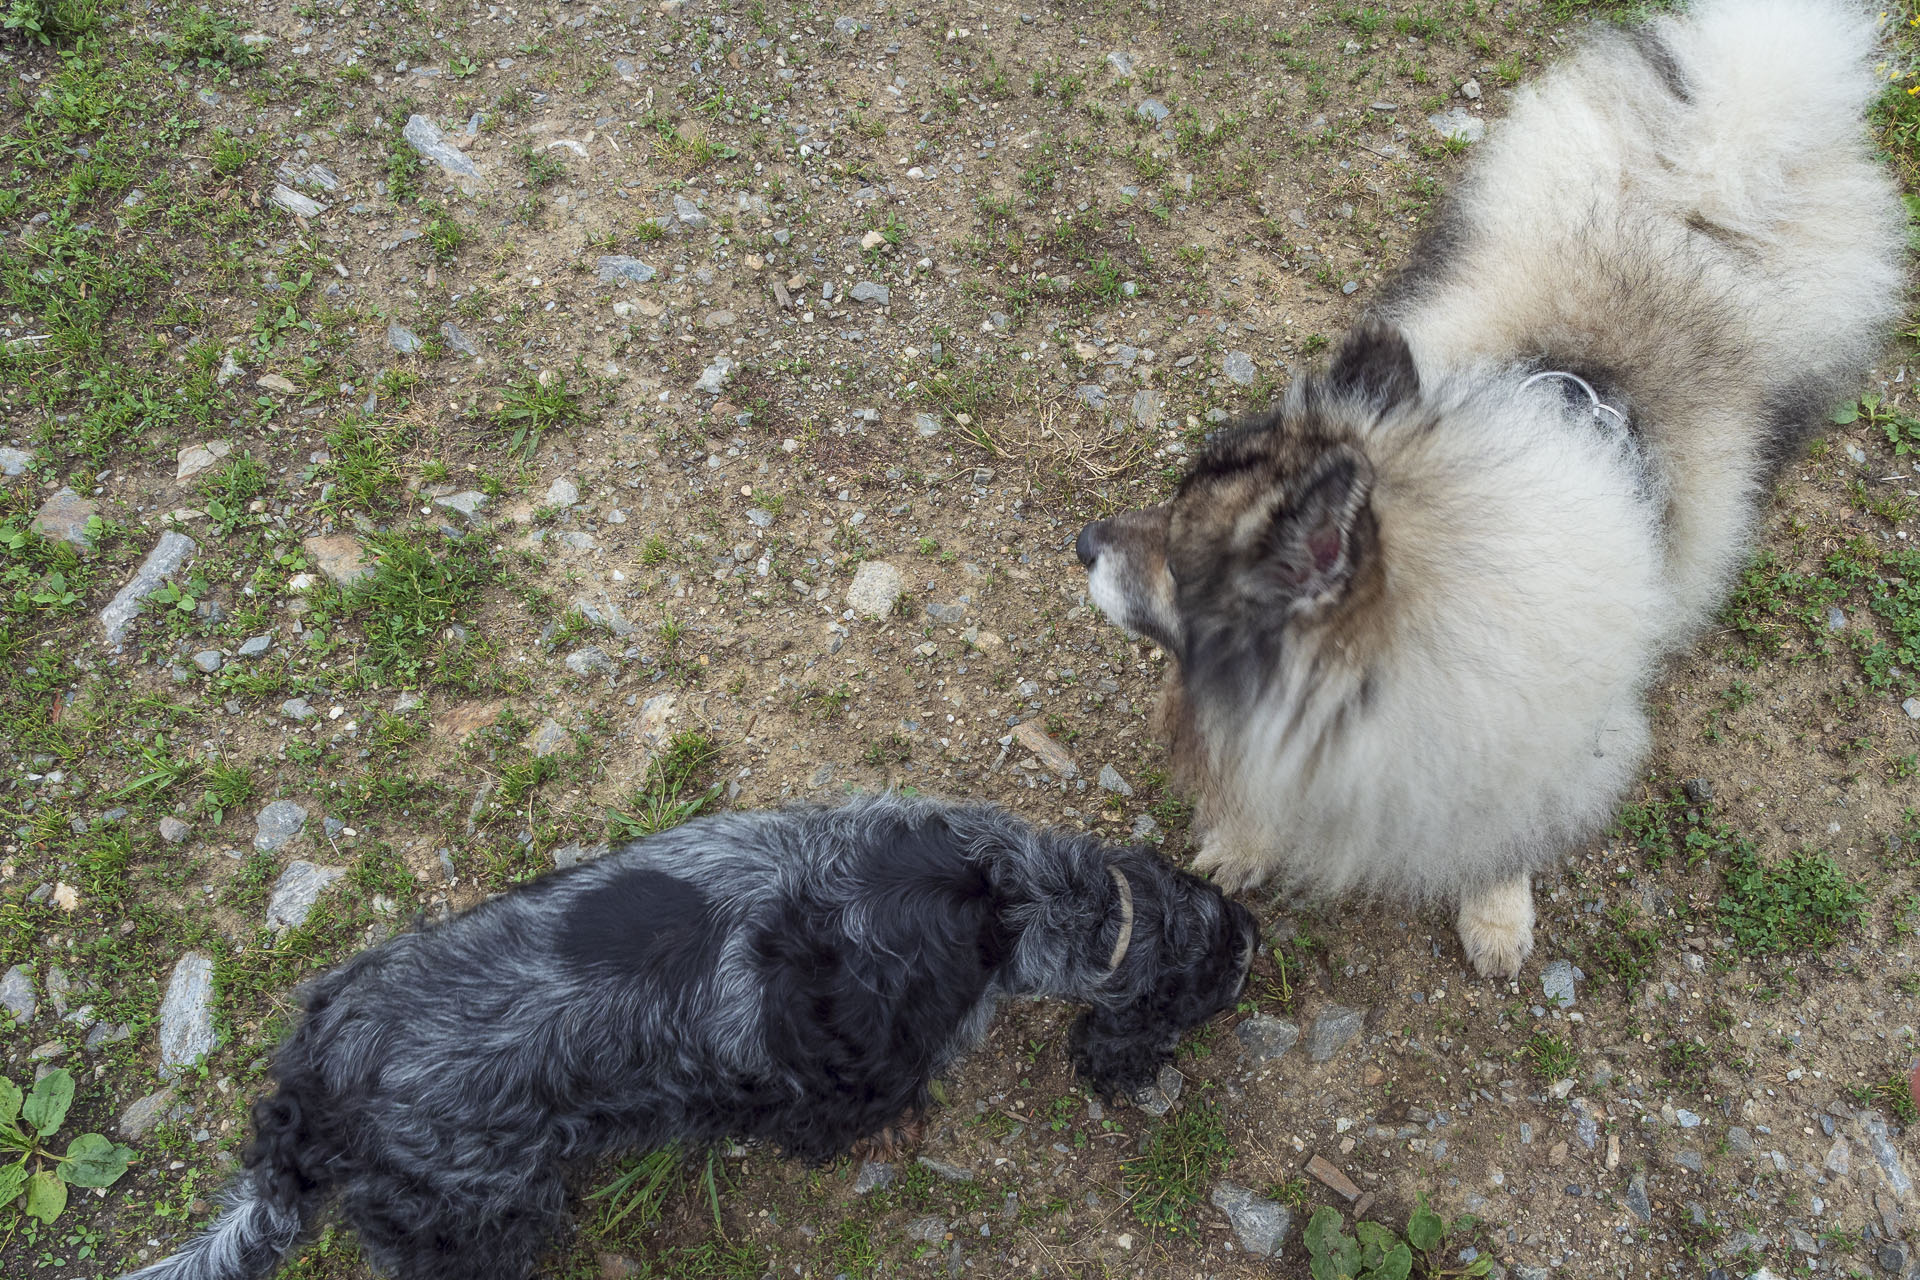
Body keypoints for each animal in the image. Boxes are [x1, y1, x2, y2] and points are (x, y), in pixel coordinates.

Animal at [123, 794, 1259, 1274]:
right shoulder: (850, 1086)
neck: (1015, 902)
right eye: (1207, 987)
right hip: (484, 1217)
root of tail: (311, 1095)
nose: (1257, 937)